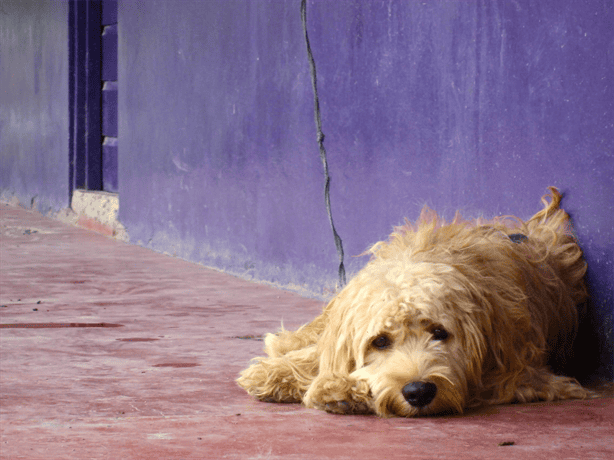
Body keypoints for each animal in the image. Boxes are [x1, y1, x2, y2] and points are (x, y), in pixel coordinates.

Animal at [238, 187, 596, 416]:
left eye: (439, 333)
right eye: (380, 341)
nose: (418, 392)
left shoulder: (518, 372)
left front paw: (341, 389)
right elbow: (320, 354)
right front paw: (281, 375)